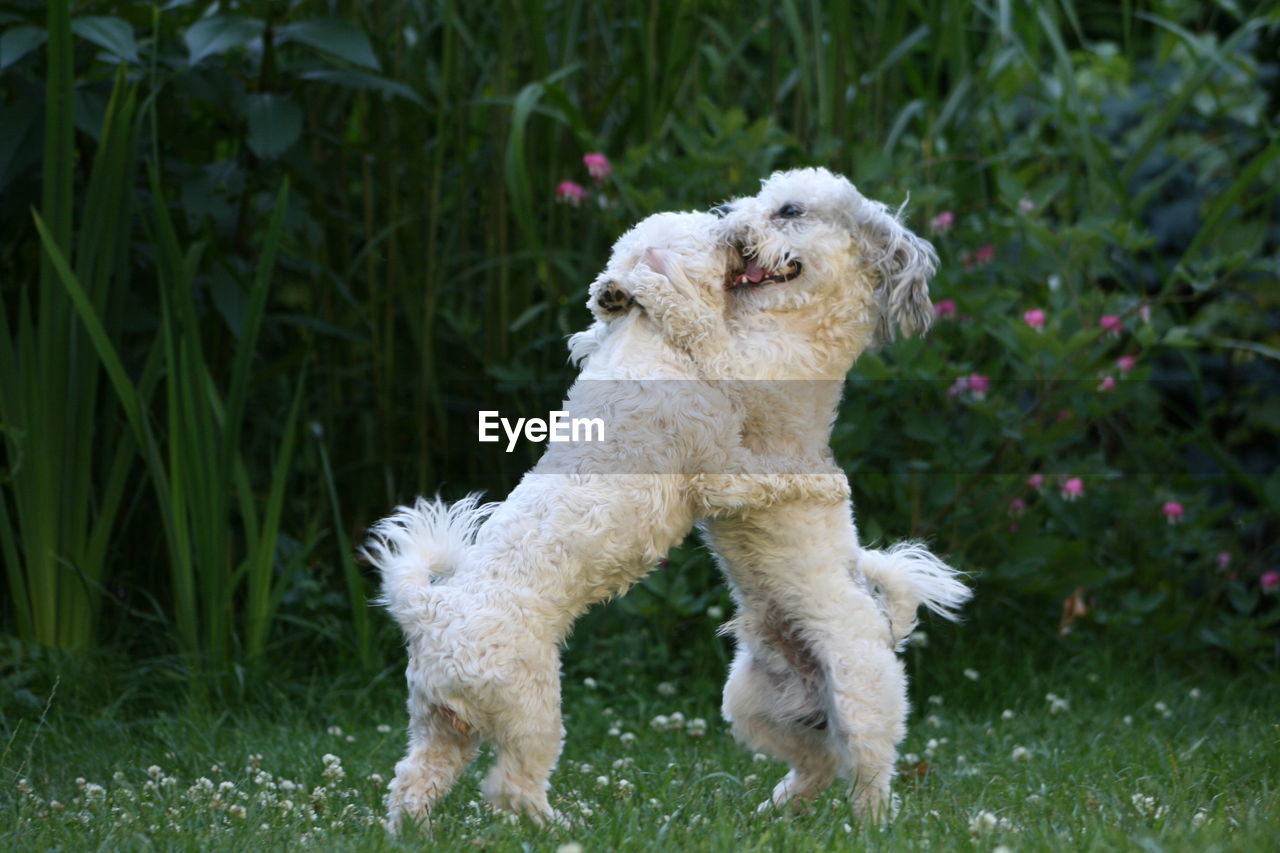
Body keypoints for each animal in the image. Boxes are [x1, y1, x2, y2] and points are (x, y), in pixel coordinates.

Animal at [363, 208, 849, 824]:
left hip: (441, 725)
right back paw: (556, 825)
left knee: (413, 782)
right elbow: (775, 475)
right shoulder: (721, 470)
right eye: (711, 232)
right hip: (530, 710)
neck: (650, 344)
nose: (735, 225)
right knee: (512, 785)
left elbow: (592, 329)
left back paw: (413, 831)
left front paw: (613, 293)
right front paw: (824, 479)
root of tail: (428, 612)